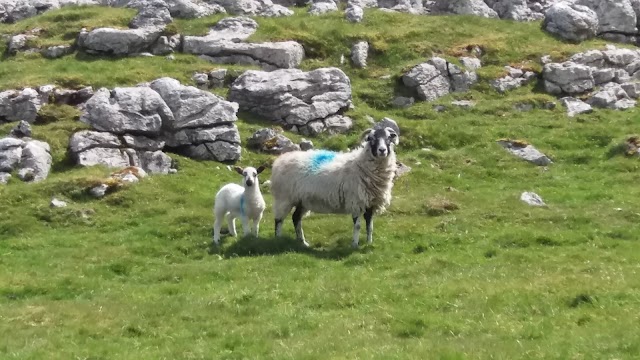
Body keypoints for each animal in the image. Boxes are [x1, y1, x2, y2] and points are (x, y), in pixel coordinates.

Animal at [270, 126, 400, 248]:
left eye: (389, 138)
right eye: (371, 139)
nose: (382, 150)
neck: (360, 164)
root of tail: (280, 160)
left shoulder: (371, 203)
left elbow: (370, 225)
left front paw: (369, 243)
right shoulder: (355, 202)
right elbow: (358, 226)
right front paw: (354, 244)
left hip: (302, 201)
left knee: (296, 218)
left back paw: (303, 242)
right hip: (284, 197)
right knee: (279, 219)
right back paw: (278, 239)